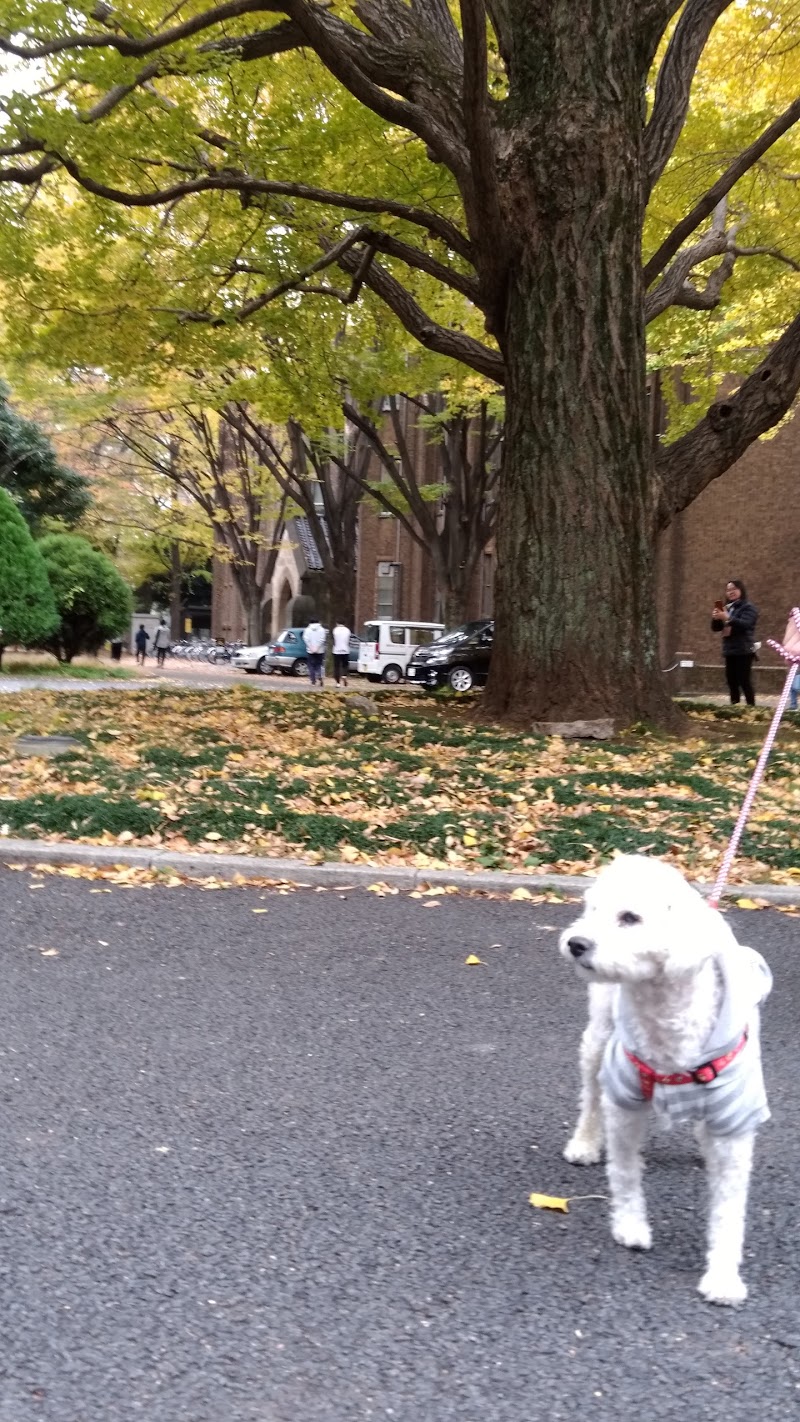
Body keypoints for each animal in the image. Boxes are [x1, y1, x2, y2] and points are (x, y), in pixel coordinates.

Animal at [559, 847, 773, 1302]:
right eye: (591, 910)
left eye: (630, 917)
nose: (576, 943)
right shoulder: (624, 1100)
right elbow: (625, 1173)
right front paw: (630, 1227)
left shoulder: (735, 1122)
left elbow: (729, 1208)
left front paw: (723, 1277)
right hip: (598, 1040)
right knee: (590, 1096)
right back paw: (584, 1142)